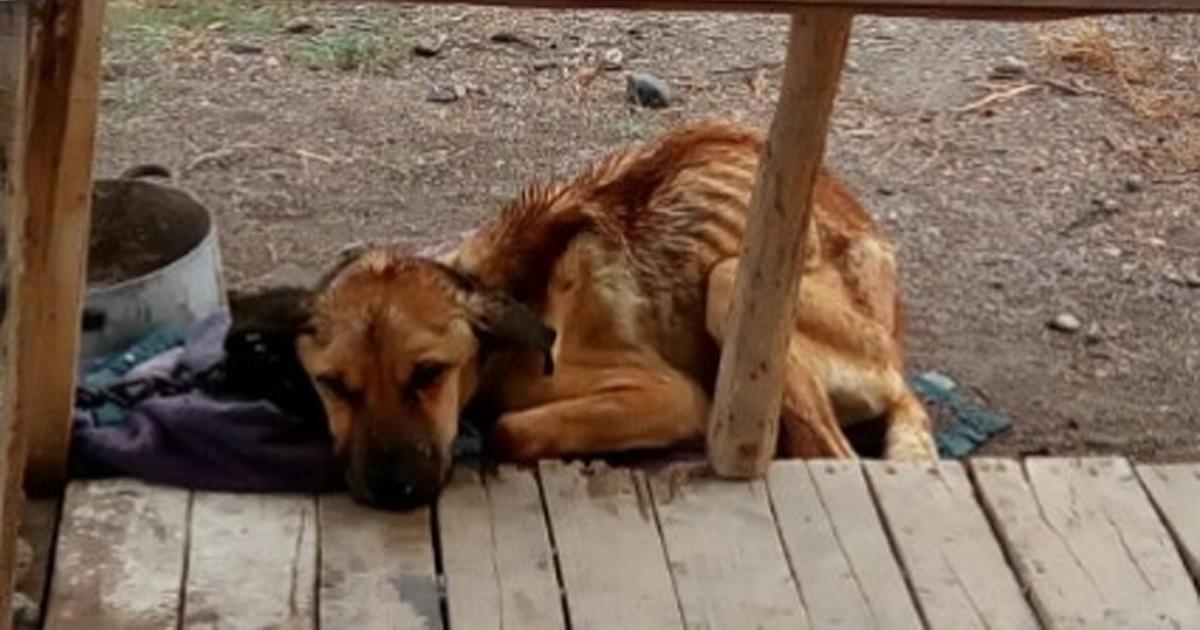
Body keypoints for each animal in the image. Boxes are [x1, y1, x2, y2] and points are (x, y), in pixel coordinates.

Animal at [285, 120, 931, 508]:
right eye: (332, 385)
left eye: (428, 374)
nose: (393, 492)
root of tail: (899, 357)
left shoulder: (673, 394)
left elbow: (509, 429)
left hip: (734, 288)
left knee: (831, 453)